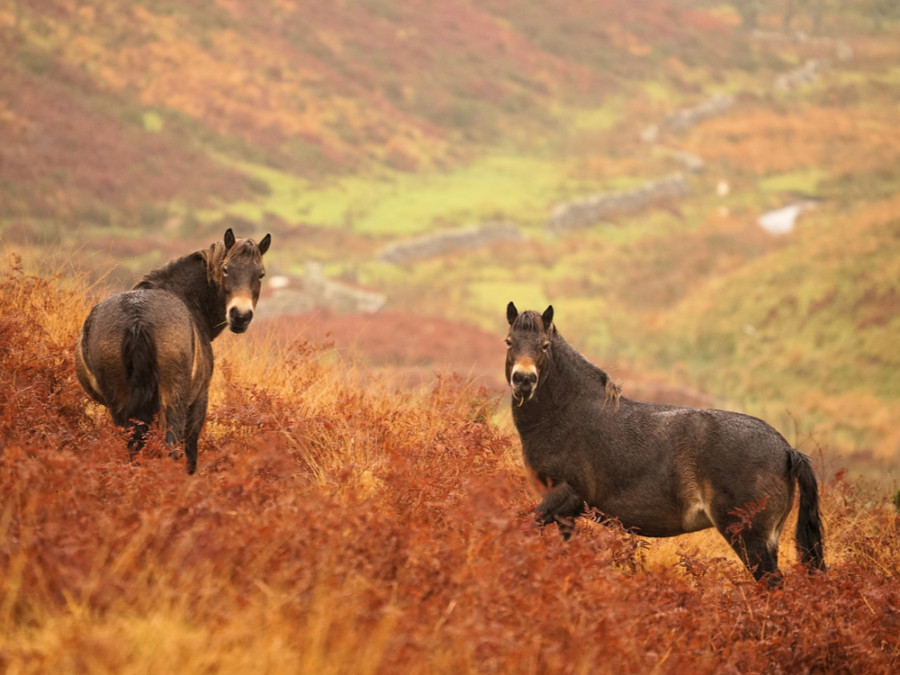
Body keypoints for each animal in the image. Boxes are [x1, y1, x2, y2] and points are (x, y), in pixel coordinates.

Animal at [74, 230, 270, 472]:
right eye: (225, 269)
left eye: (260, 274)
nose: (240, 316)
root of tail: (137, 317)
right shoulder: (198, 401)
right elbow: (190, 449)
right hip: (173, 401)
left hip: (122, 405)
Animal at [502, 304, 828, 584]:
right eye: (509, 342)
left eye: (545, 345)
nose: (524, 380)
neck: (569, 413)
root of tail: (786, 450)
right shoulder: (566, 513)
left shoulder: (565, 497)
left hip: (749, 537)